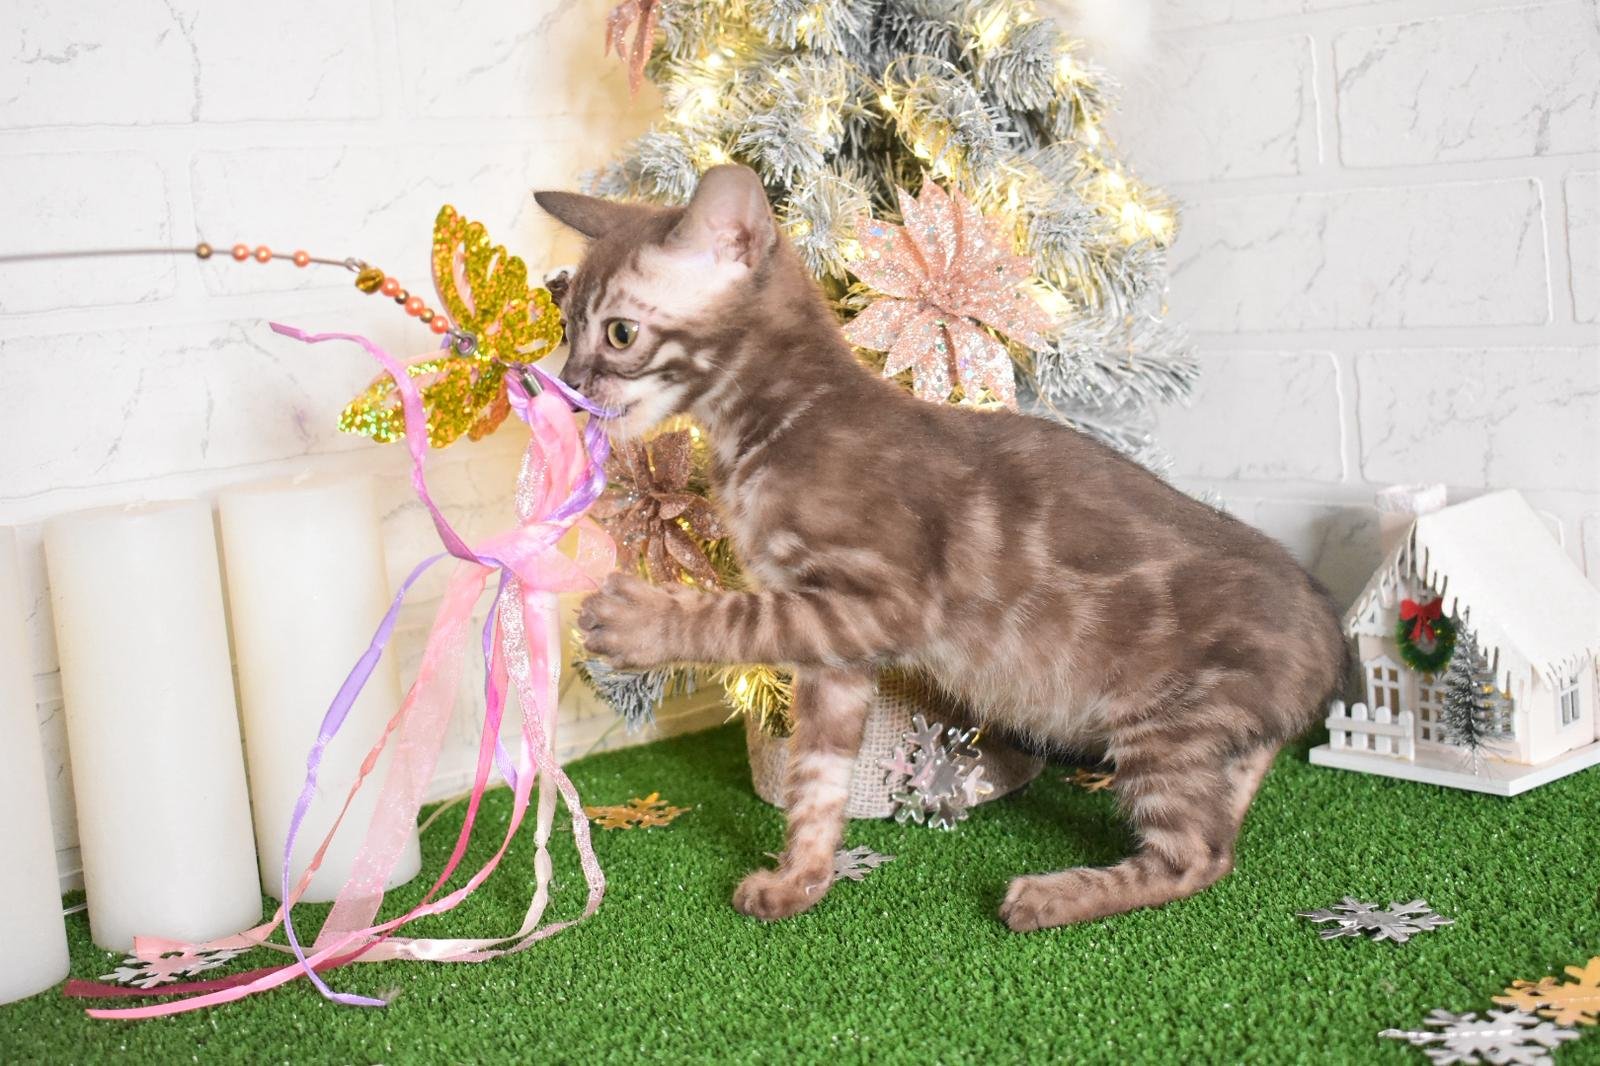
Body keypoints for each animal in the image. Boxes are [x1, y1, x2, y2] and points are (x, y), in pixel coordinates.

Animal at [534, 165, 1345, 931]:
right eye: (565, 323)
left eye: (618, 334)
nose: (565, 389)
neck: (773, 424)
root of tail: (1326, 633)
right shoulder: (835, 653)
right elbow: (817, 779)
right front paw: (801, 879)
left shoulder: (876, 600)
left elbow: (733, 618)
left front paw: (636, 622)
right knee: (1226, 819)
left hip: (1163, 725)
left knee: (1199, 856)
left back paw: (1052, 897)